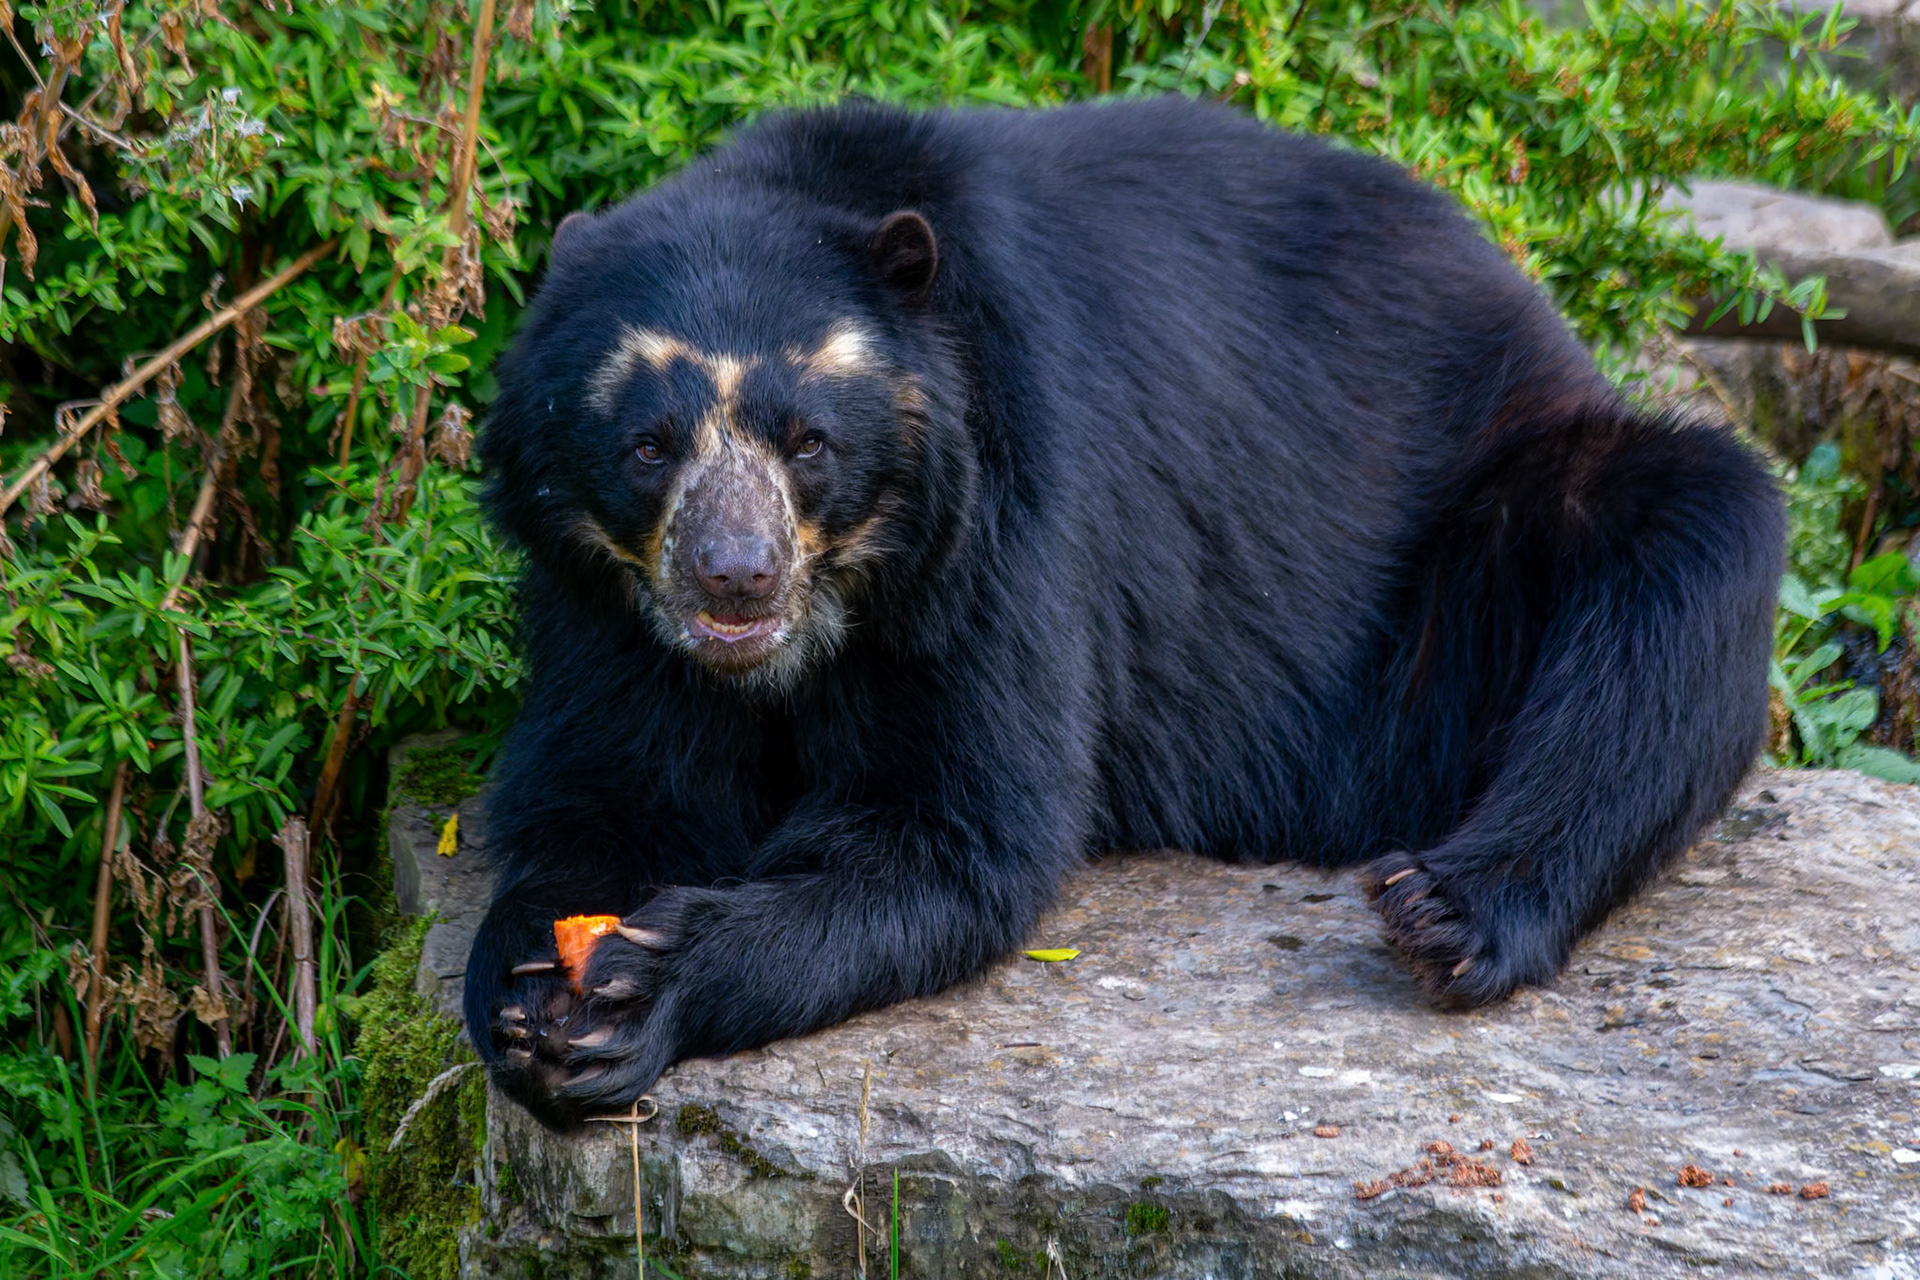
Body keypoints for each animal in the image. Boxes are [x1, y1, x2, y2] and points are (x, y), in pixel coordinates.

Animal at [469, 97, 1783, 1129]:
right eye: (648, 444)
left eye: (809, 441)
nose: (733, 575)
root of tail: (1539, 317)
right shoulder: (603, 605)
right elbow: (608, 781)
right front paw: (534, 992)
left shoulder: (1005, 516)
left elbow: (957, 824)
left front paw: (640, 984)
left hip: (1478, 546)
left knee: (1683, 565)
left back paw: (1446, 907)